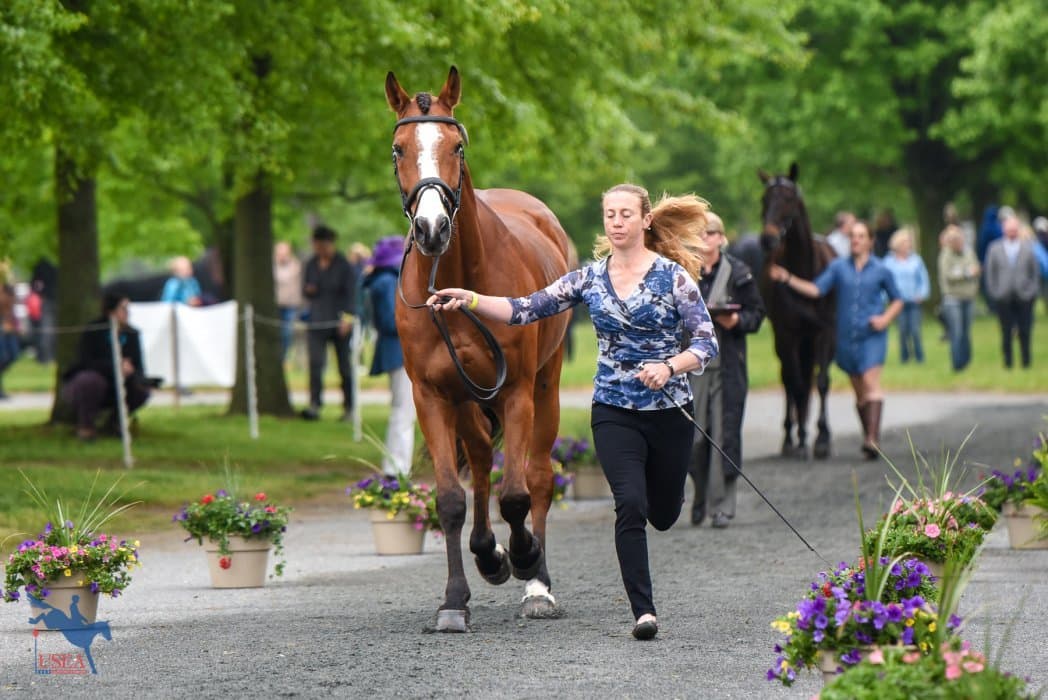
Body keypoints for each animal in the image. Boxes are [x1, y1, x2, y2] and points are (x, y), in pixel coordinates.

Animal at [385, 66, 575, 632]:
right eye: (399, 148)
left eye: (457, 145)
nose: (430, 228)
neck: (457, 284)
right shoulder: (431, 396)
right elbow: (450, 499)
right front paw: (455, 599)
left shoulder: (515, 392)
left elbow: (517, 494)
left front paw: (527, 558)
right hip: (468, 401)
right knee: (481, 464)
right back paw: (488, 553)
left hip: (545, 386)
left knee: (537, 478)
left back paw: (536, 581)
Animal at [756, 163, 837, 459]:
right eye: (764, 199)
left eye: (789, 199)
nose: (768, 239)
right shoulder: (787, 334)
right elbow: (797, 384)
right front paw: (800, 439)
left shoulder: (825, 333)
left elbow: (821, 382)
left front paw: (822, 439)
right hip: (785, 342)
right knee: (789, 381)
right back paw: (790, 437)